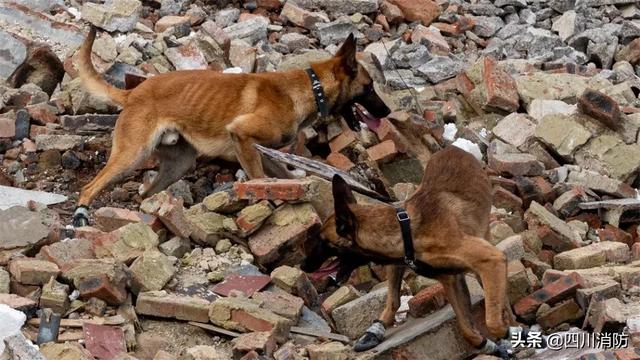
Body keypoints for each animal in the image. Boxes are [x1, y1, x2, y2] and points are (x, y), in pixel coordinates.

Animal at [70, 27, 390, 225]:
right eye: (369, 87)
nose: (387, 112)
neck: (311, 88)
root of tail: (133, 93)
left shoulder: (264, 153)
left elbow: (279, 176)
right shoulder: (242, 136)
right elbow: (257, 180)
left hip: (178, 164)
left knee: (146, 195)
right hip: (131, 155)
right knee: (89, 187)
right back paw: (80, 218)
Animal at [302, 146, 524, 358]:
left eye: (323, 242)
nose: (303, 265)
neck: (408, 231)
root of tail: (452, 148)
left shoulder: (490, 260)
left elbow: (493, 322)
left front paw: (512, 334)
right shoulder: (451, 281)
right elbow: (467, 329)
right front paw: (490, 345)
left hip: (485, 247)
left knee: (501, 302)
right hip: (400, 267)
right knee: (394, 299)